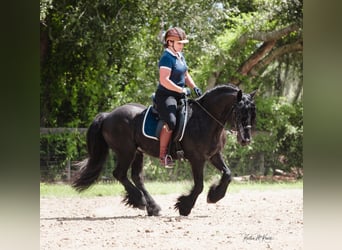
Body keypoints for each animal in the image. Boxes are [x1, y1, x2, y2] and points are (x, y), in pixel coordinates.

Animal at [72, 84, 256, 217]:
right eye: (239, 111)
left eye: (252, 112)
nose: (245, 139)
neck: (205, 119)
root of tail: (108, 115)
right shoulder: (197, 159)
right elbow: (199, 185)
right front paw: (184, 207)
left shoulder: (214, 155)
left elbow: (228, 174)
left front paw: (214, 196)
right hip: (126, 152)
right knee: (120, 174)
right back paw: (139, 200)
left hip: (137, 152)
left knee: (136, 177)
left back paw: (152, 207)